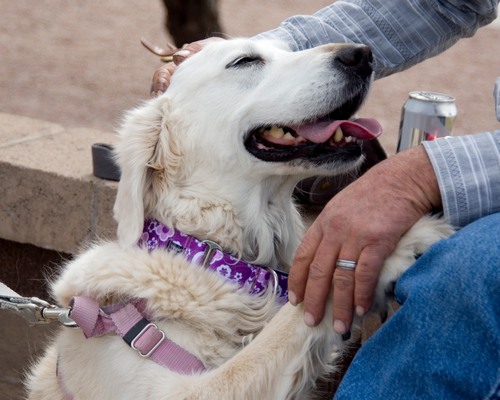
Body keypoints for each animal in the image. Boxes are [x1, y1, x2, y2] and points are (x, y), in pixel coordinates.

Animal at [25, 39, 453, 399]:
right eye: (245, 61)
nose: (361, 54)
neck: (213, 256)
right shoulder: (183, 388)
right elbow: (292, 318)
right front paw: (391, 238)